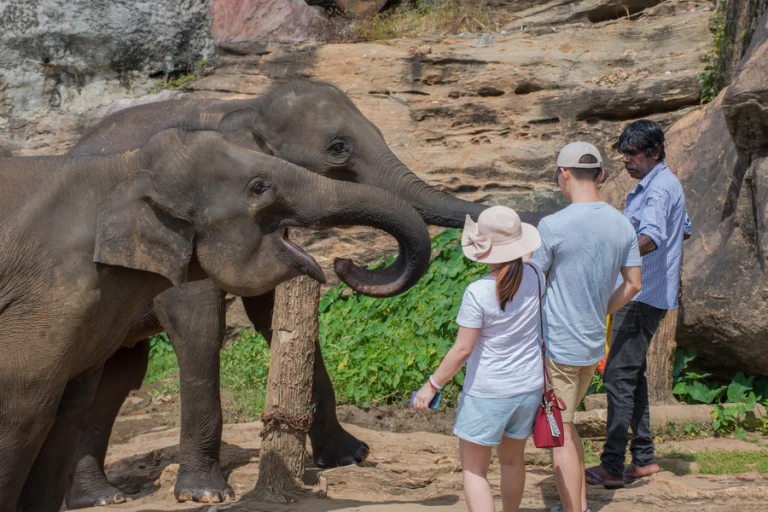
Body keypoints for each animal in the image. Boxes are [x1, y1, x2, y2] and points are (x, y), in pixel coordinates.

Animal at [0, 126, 432, 512]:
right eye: (259, 187)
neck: (124, 165)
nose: (344, 262)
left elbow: (68, 408)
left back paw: (104, 499)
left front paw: (350, 457)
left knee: (114, 381)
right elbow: (23, 403)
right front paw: (205, 496)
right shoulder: (48, 292)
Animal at [64, 80, 502, 507]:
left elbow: (271, 313)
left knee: (116, 377)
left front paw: (350, 456)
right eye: (338, 148)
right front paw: (203, 492)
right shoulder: (176, 220)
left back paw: (100, 497)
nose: (341, 263)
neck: (246, 105)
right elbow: (197, 325)